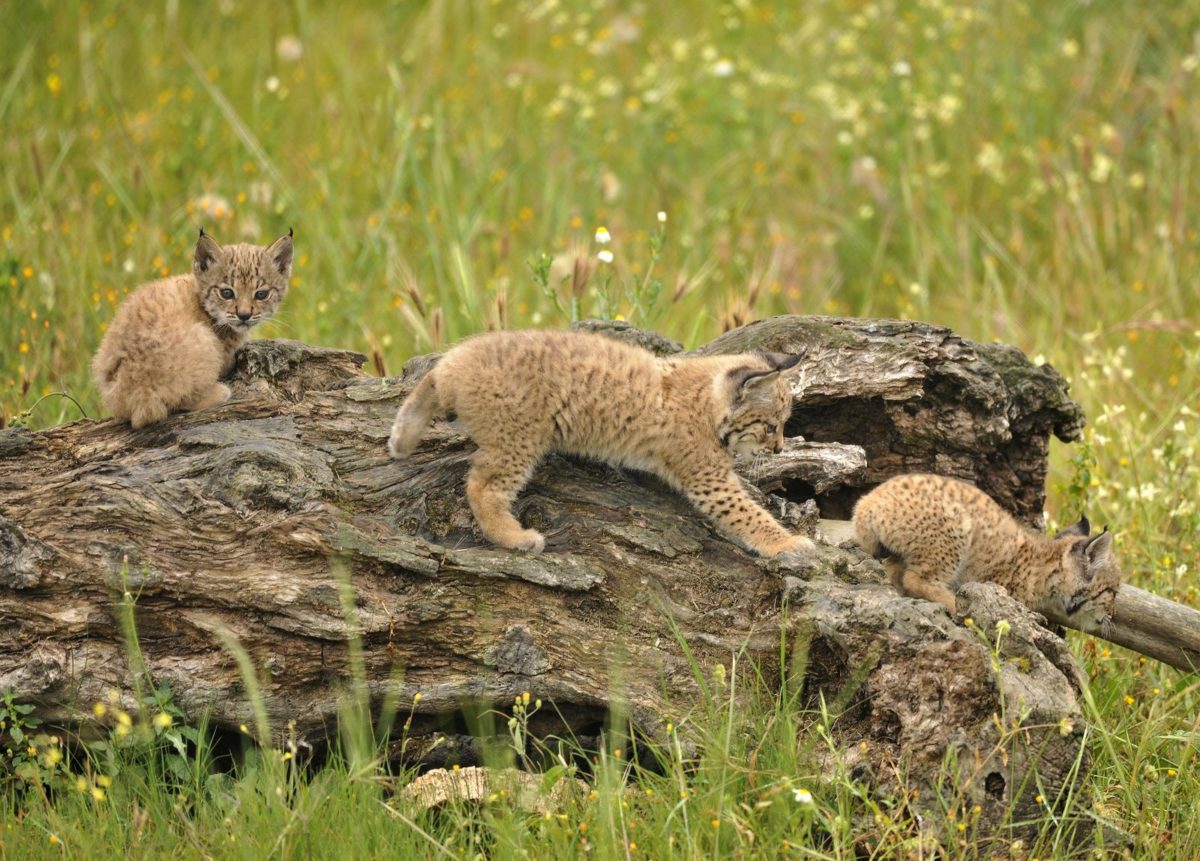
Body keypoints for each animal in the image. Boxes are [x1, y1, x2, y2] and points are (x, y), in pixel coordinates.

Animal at [386, 330, 816, 558]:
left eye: (782, 426)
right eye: (770, 427)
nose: (779, 449)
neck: (707, 398)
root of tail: (454, 363)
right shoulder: (708, 478)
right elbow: (748, 514)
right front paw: (789, 543)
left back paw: (402, 439)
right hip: (520, 437)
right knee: (482, 486)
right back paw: (516, 538)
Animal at [849, 474, 1118, 628]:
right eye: (1113, 592)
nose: (1111, 617)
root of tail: (867, 502)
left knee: (895, 571)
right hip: (955, 528)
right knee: (916, 579)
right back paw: (959, 606)